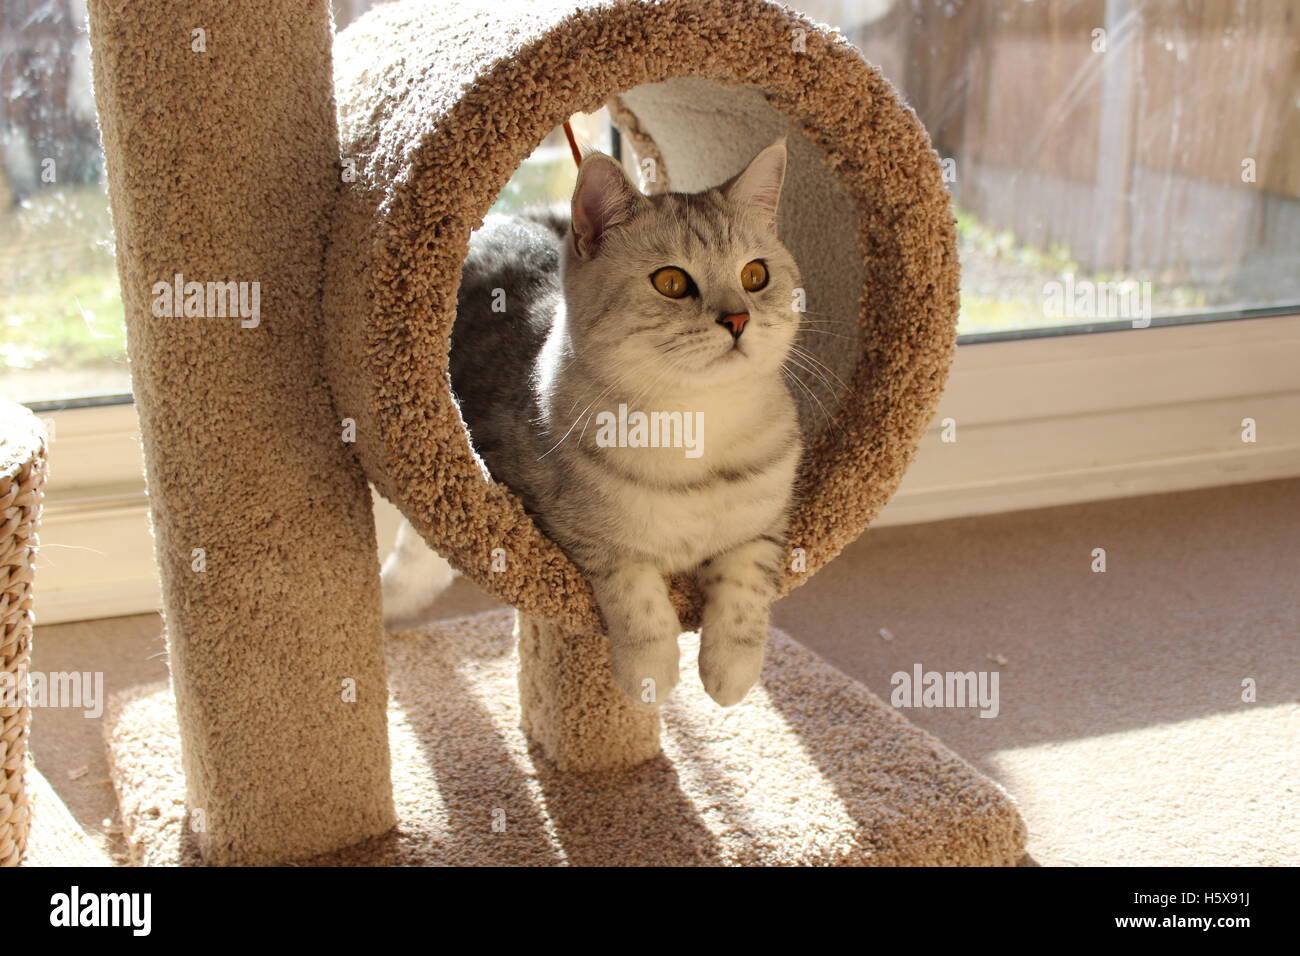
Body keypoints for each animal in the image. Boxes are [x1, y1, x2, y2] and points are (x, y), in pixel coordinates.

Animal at [379, 141, 795, 712]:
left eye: (756, 275)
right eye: (671, 282)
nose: (738, 319)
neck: (698, 425)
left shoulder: (766, 518)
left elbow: (746, 586)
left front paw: (730, 670)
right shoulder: (567, 524)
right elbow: (635, 589)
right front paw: (651, 671)